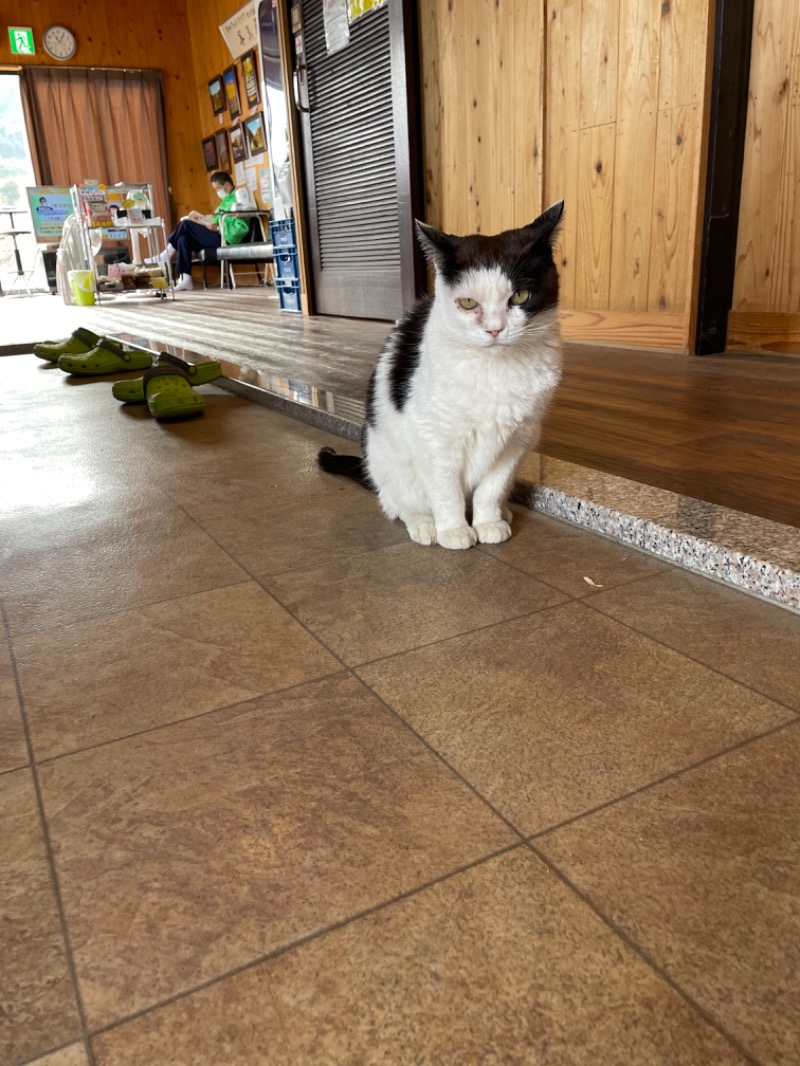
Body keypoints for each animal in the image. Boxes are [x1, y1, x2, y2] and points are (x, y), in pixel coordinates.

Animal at [315, 200, 567, 550]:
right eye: (468, 303)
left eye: (519, 296)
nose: (494, 329)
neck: (494, 369)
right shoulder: (436, 438)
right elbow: (445, 490)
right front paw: (454, 529)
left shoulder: (517, 440)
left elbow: (491, 488)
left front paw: (488, 522)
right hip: (387, 459)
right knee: (398, 503)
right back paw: (424, 523)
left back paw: (503, 513)